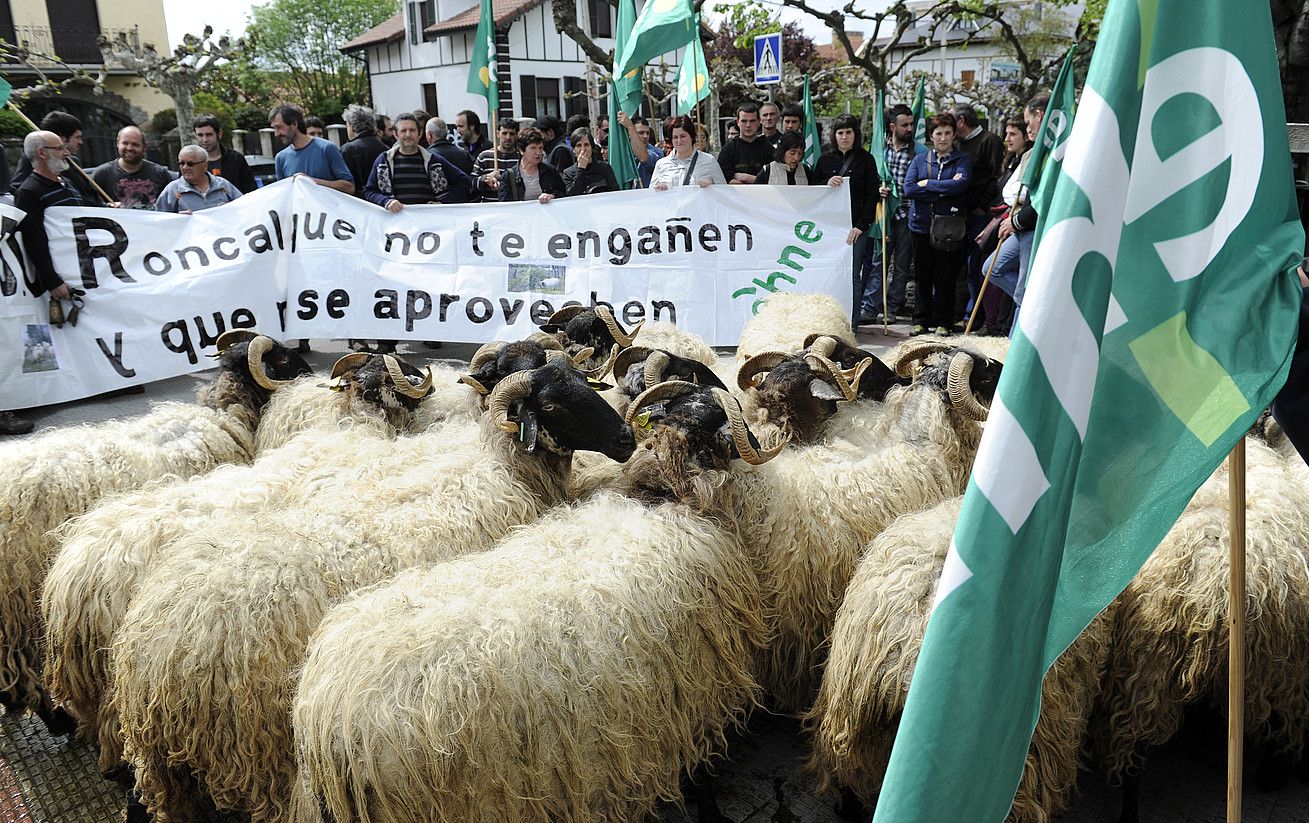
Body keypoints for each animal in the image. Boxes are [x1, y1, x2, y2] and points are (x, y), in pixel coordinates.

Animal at [109, 358, 636, 821]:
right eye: (549, 404)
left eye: (585, 384)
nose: (627, 439)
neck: (502, 465)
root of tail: (154, 653)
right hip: (253, 752)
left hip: (160, 763)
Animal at [290, 379, 780, 821]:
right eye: (551, 404)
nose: (624, 437)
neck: (661, 501)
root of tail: (324, 722)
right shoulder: (694, 689)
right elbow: (702, 776)